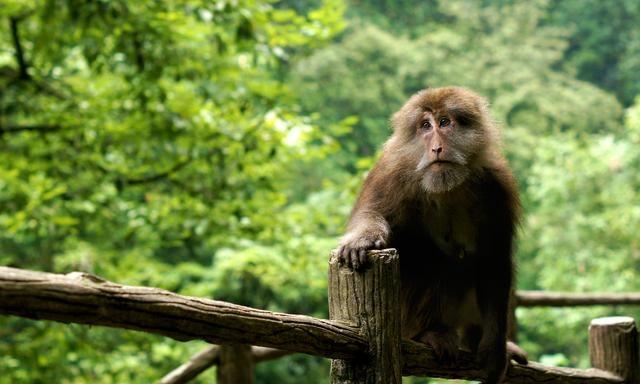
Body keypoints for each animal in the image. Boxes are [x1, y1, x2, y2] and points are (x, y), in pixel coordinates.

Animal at [338, 88, 528, 384]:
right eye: (426, 126)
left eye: (445, 122)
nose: (436, 147)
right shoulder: (392, 172)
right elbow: (372, 213)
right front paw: (363, 239)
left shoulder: (497, 186)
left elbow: (494, 261)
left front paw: (494, 350)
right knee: (429, 256)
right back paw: (430, 333)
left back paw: (475, 340)